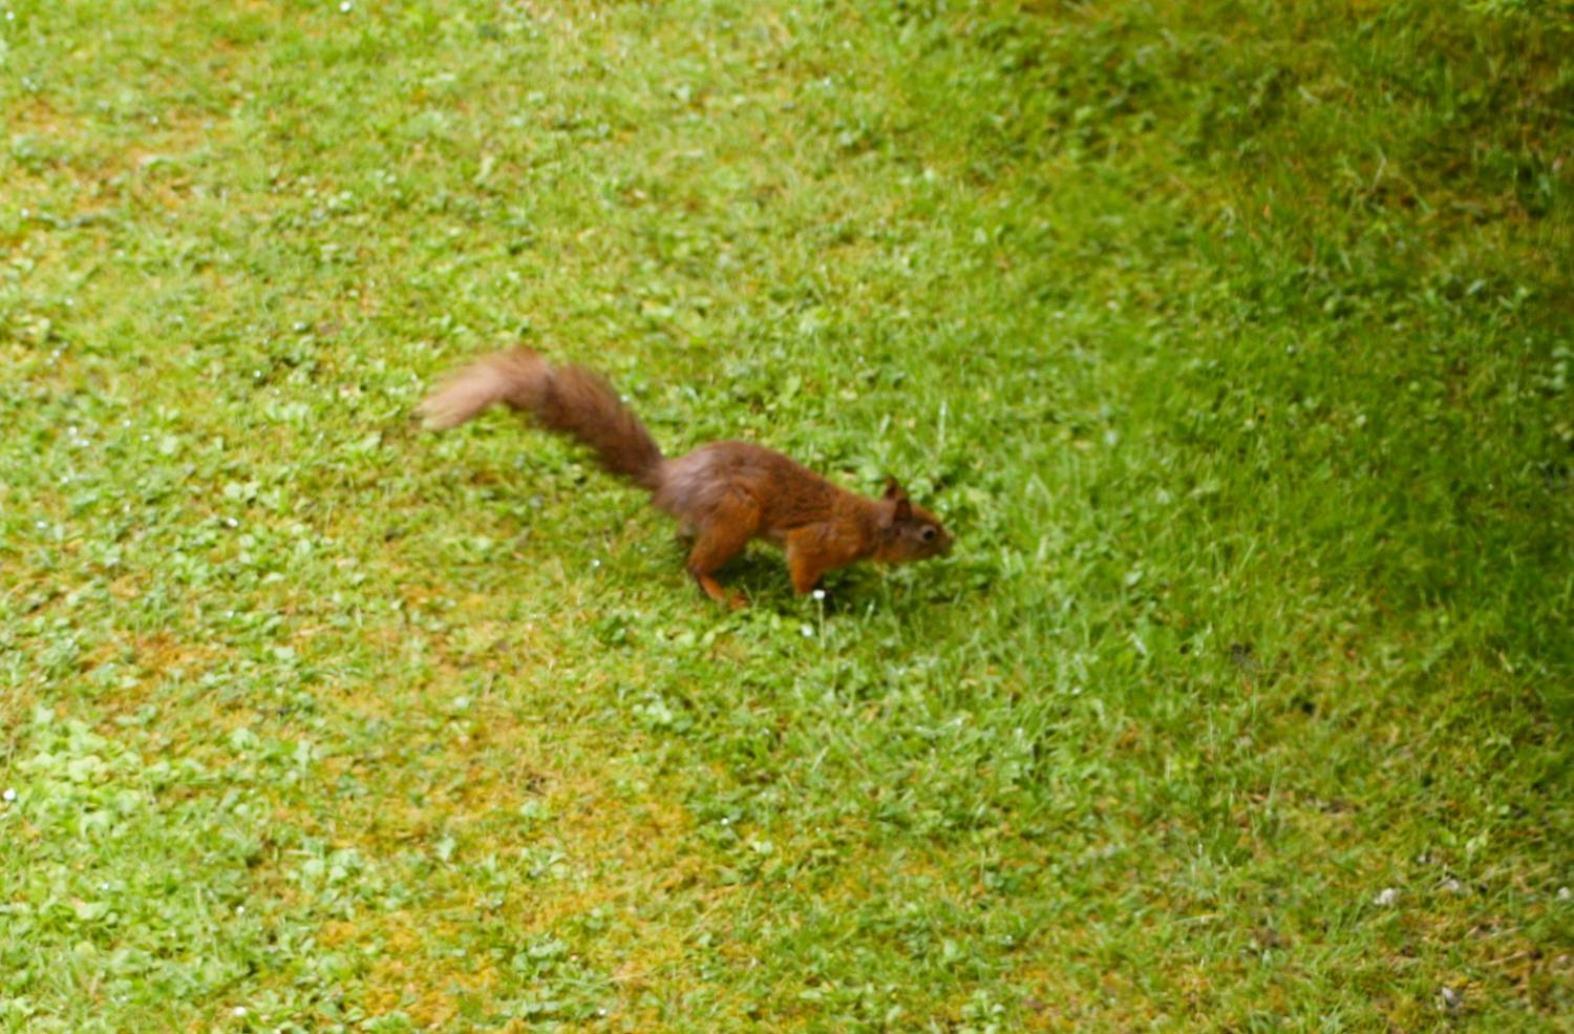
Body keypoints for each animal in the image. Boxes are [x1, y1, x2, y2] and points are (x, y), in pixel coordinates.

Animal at [415, 346, 944, 604]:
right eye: (928, 533)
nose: (952, 545)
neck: (868, 523)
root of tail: (670, 482)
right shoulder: (818, 540)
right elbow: (800, 567)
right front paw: (814, 599)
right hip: (736, 514)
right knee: (696, 566)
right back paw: (724, 594)